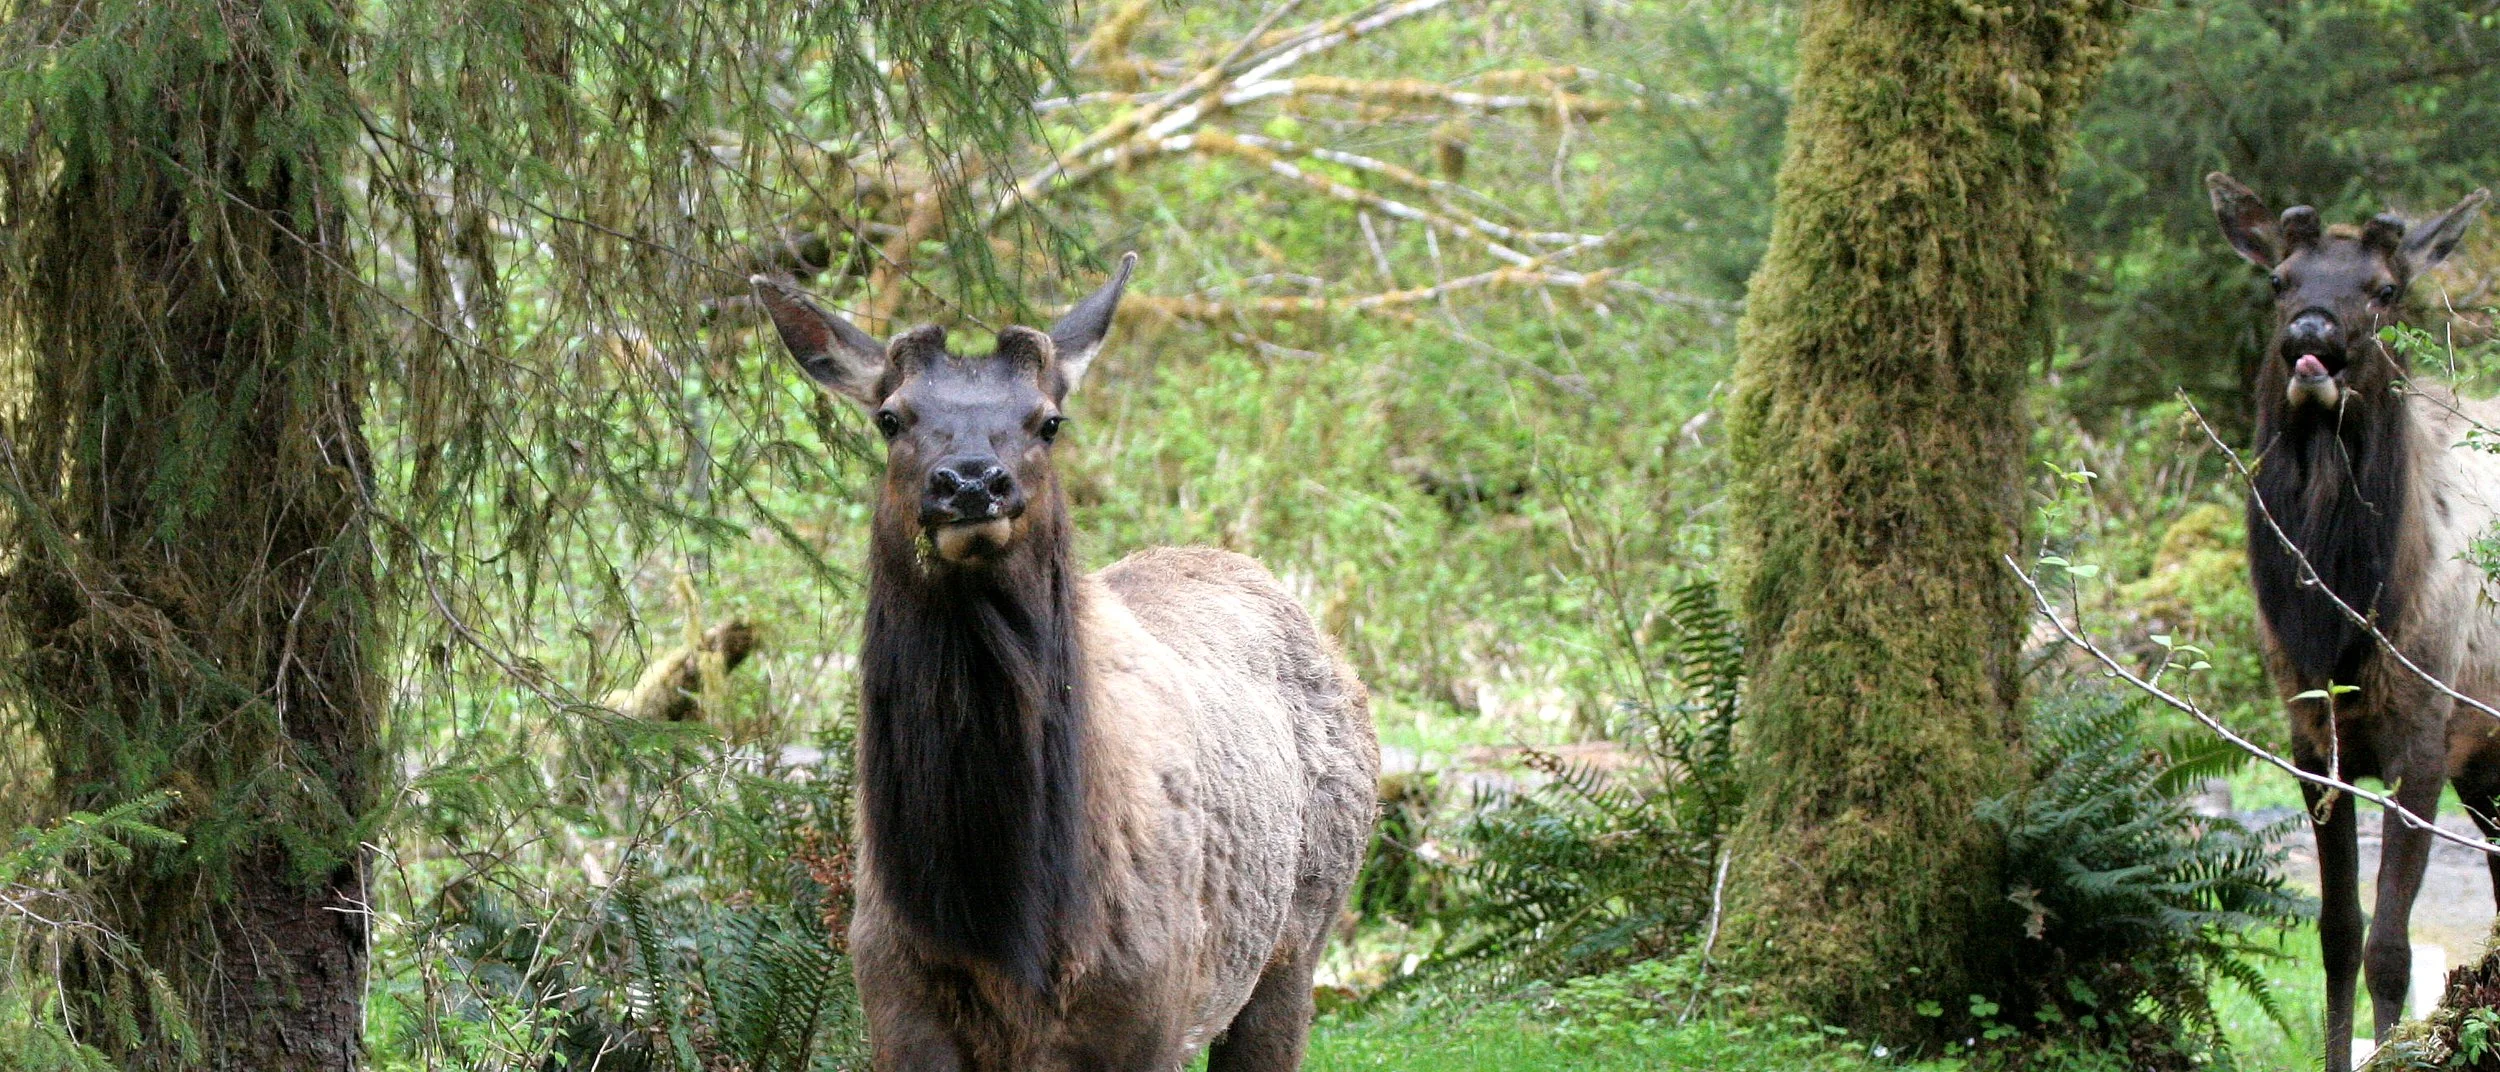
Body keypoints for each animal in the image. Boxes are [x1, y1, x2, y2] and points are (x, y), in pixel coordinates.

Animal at [750, 253, 1379, 1071]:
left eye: (1049, 420)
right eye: (890, 416)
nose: (972, 481)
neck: (1006, 930)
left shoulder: (1148, 1009)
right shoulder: (893, 1000)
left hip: (1299, 935)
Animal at [2208, 173, 2500, 1071]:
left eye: (2384, 289)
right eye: (2279, 280)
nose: (2312, 337)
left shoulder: (2425, 739)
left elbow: (2390, 950)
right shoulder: (2310, 744)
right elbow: (2338, 935)